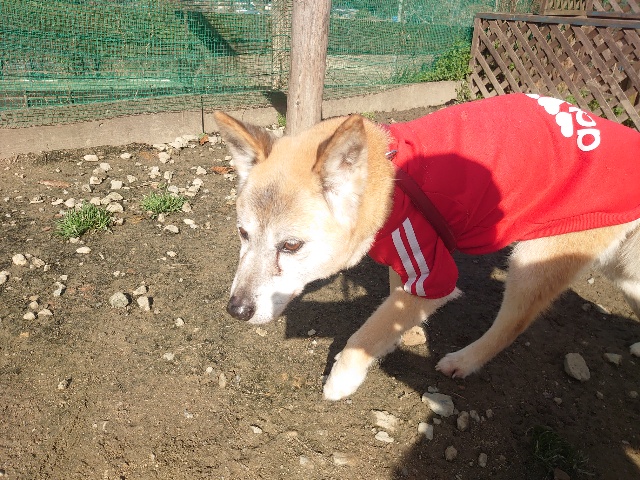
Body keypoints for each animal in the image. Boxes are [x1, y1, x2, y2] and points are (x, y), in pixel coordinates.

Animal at [214, 93, 640, 401]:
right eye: (243, 234)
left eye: (291, 245)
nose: (236, 310)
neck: (390, 180)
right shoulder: (404, 259)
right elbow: (394, 301)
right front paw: (405, 333)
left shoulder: (435, 270)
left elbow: (367, 332)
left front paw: (344, 376)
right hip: (623, 272)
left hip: (534, 259)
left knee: (511, 326)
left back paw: (465, 360)